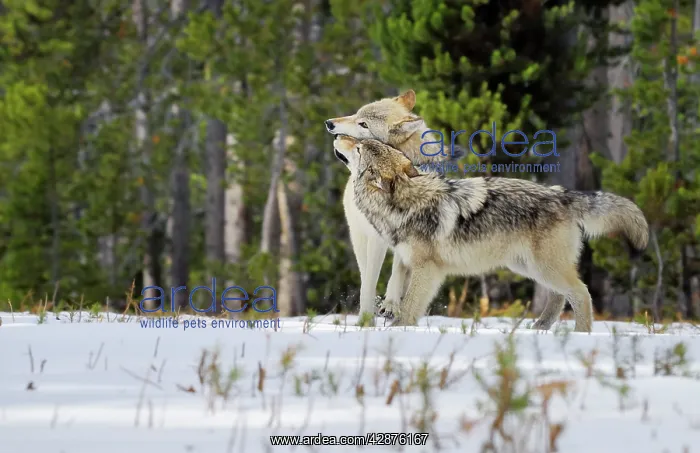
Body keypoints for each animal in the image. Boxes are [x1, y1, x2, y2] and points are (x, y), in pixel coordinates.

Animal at [325, 90, 464, 322]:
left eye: (364, 124)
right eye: (356, 114)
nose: (330, 124)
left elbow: (397, 272)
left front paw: (390, 305)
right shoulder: (363, 235)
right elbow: (368, 277)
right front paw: (367, 313)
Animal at [332, 135, 649, 332]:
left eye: (360, 148)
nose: (337, 135)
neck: (406, 202)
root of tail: (563, 195)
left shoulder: (428, 269)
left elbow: (410, 305)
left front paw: (398, 330)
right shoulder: (408, 260)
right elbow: (395, 286)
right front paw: (388, 312)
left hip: (543, 268)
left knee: (581, 293)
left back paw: (581, 334)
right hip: (530, 267)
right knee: (559, 297)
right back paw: (541, 328)